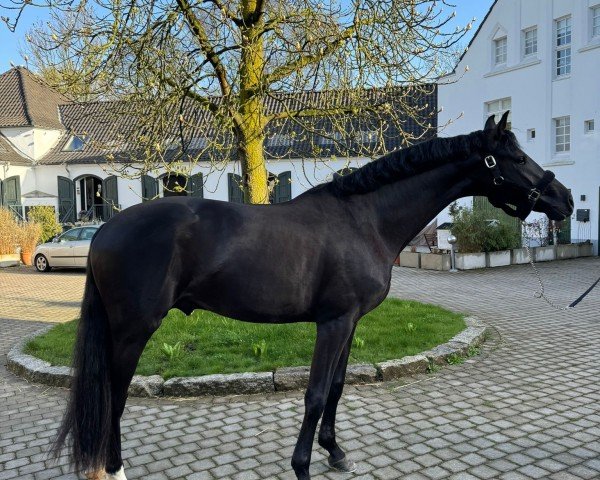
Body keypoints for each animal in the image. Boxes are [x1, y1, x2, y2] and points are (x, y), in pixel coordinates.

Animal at [50, 112, 572, 480]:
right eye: (517, 159)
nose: (565, 200)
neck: (364, 220)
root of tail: (104, 230)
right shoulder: (333, 322)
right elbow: (316, 393)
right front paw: (302, 465)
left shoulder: (351, 321)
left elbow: (337, 388)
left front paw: (335, 453)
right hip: (133, 331)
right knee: (114, 396)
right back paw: (114, 468)